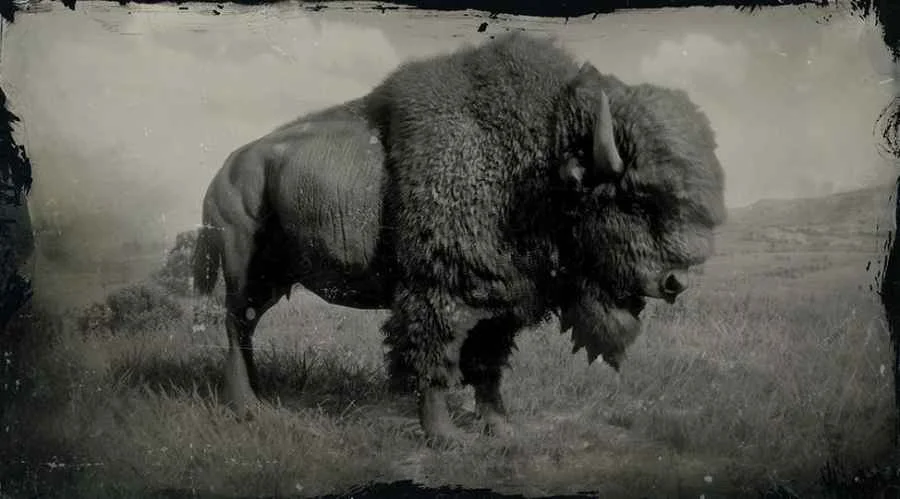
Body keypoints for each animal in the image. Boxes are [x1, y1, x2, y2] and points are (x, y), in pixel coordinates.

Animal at [192, 32, 726, 444]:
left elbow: (487, 368)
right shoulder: (436, 294)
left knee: (249, 326)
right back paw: (244, 407)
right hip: (241, 264)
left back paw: (258, 396)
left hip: (275, 276)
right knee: (235, 324)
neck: (538, 166)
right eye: (635, 201)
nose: (675, 282)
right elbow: (435, 361)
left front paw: (501, 429)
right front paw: (444, 437)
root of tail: (226, 168)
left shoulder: (501, 304)